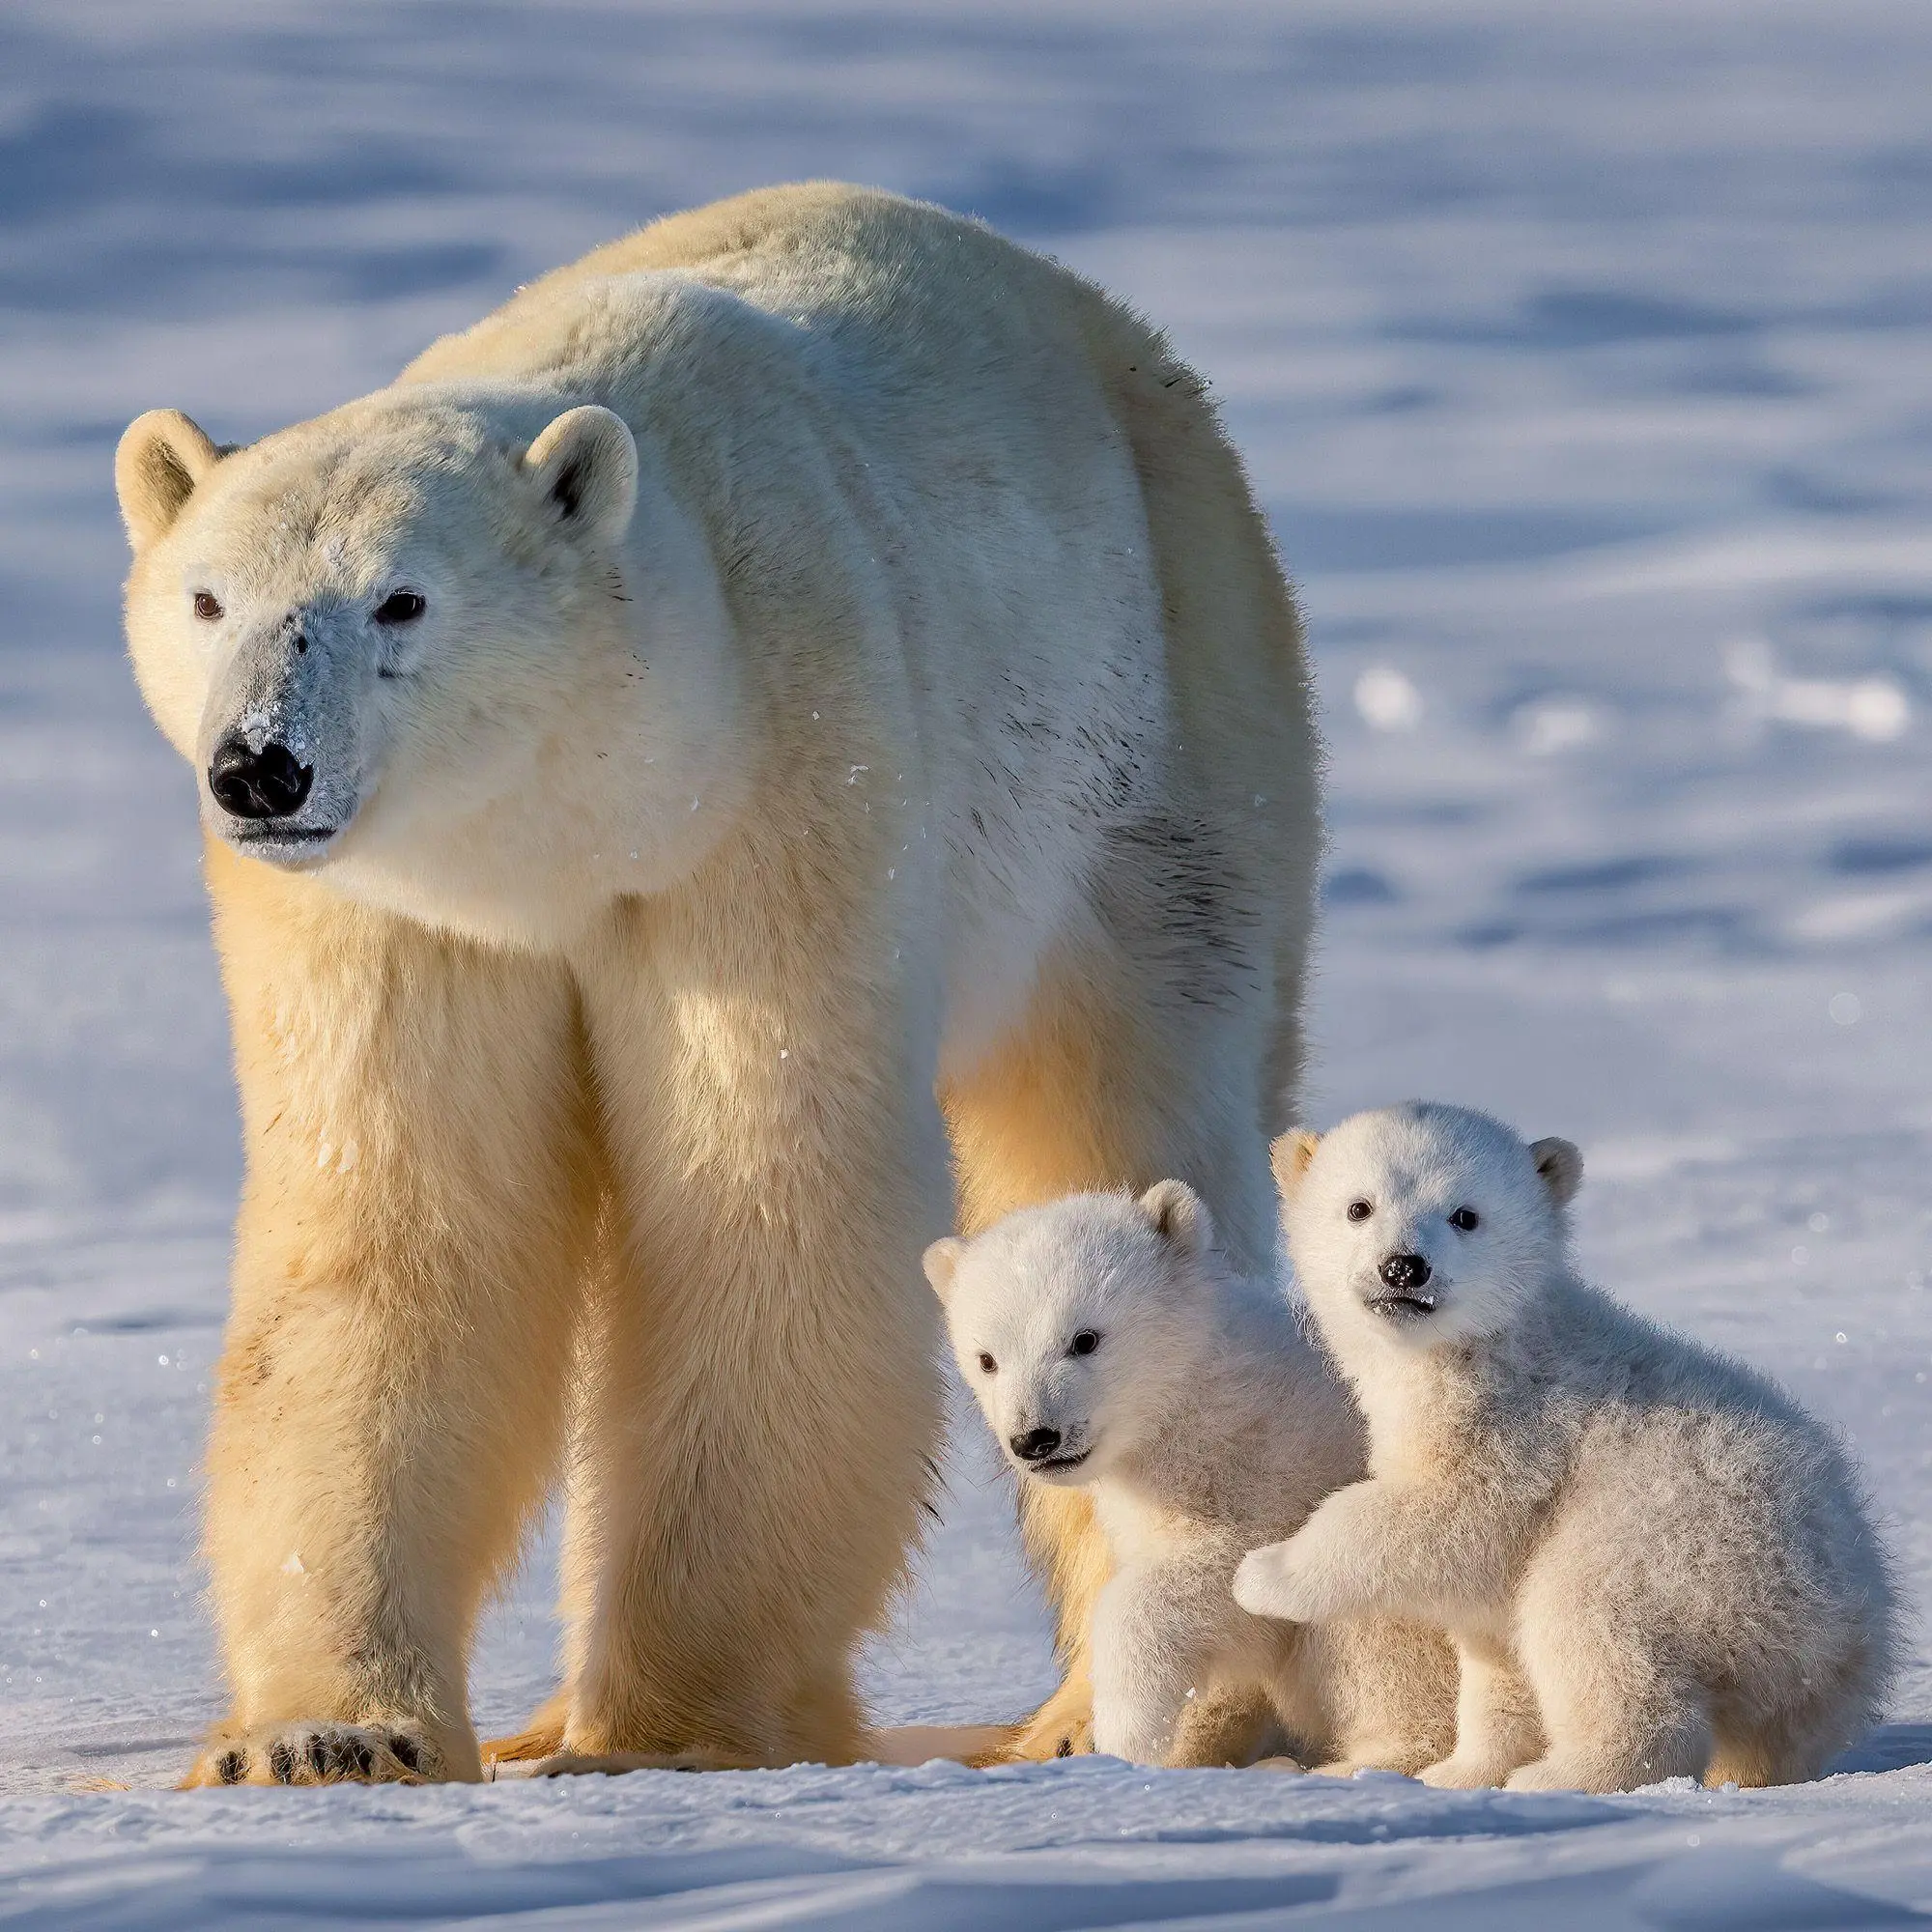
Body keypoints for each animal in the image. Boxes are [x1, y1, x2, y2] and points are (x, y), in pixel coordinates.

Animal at [111, 183, 1319, 1783]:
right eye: (206, 598)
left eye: (402, 600)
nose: (261, 766)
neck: (578, 824)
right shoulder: (399, 915)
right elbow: (396, 1232)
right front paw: (325, 1737)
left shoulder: (778, 792)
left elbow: (763, 1208)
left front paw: (660, 1732)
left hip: (1163, 740)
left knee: (1124, 1106)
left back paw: (1117, 1715)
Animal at [924, 1183, 1457, 1772]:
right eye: (987, 1359)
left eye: (1084, 1338)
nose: (1035, 1438)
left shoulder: (1273, 1466)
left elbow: (1228, 1580)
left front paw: (1128, 1732)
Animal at [1234, 1103, 1898, 1793]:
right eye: (1359, 1207)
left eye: (1465, 1215)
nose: (1405, 1267)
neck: (1487, 1344)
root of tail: (1848, 1626)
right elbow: (1494, 1652)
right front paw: (1460, 1772)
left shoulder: (1517, 1425)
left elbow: (1447, 1517)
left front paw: (1264, 1573)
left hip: (1686, 1544)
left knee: (1585, 1616)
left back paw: (1564, 1774)